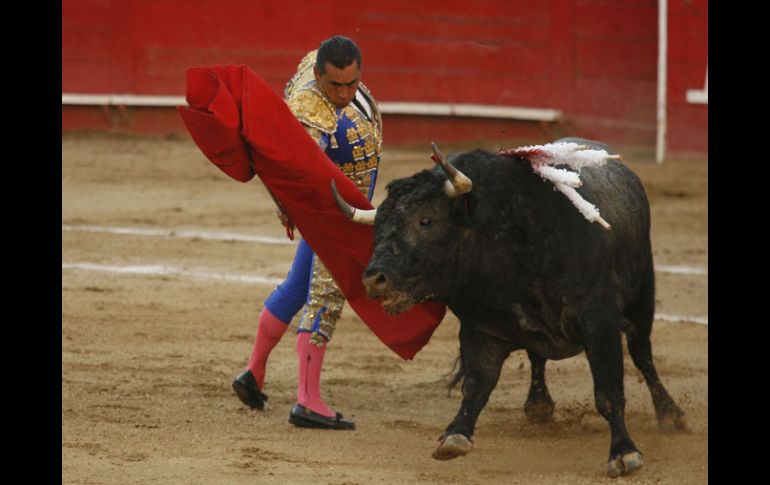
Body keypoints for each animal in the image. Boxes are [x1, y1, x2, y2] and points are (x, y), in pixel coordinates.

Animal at [336, 136, 684, 476]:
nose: (374, 279)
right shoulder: (481, 328)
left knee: (642, 354)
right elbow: (476, 385)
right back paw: (538, 405)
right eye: (378, 226)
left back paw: (670, 414)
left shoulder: (598, 322)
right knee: (537, 357)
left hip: (642, 297)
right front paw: (454, 435)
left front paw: (624, 454)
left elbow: (609, 390)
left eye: (426, 220)